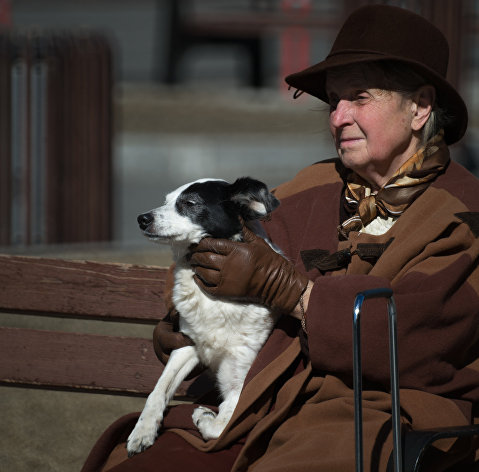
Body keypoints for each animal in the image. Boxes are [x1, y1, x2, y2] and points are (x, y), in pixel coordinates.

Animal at [128, 176, 282, 454]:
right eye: (166, 200)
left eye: (190, 203)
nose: (141, 218)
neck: (215, 300)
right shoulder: (187, 345)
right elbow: (158, 390)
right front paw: (142, 431)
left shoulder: (241, 380)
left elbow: (222, 425)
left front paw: (204, 416)